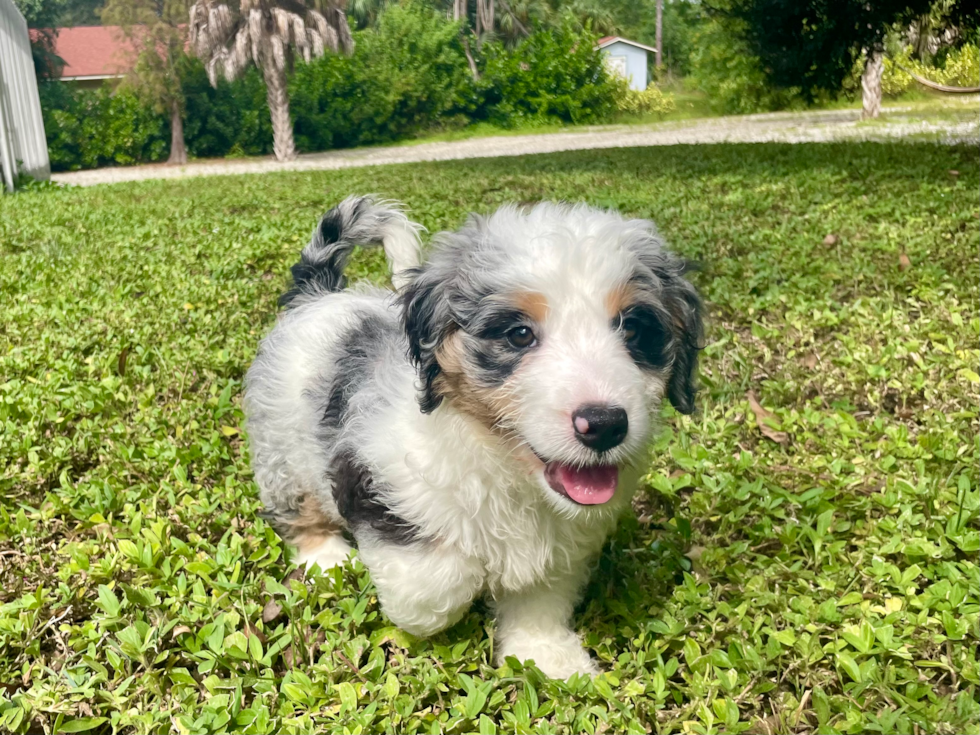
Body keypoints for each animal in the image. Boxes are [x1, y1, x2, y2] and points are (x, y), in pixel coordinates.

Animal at [245, 196, 704, 680]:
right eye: (519, 334)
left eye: (633, 329)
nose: (604, 423)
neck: (503, 463)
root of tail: (320, 295)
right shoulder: (377, 476)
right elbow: (435, 584)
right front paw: (455, 592)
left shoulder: (562, 547)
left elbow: (541, 598)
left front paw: (545, 653)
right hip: (283, 446)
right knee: (297, 507)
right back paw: (326, 557)